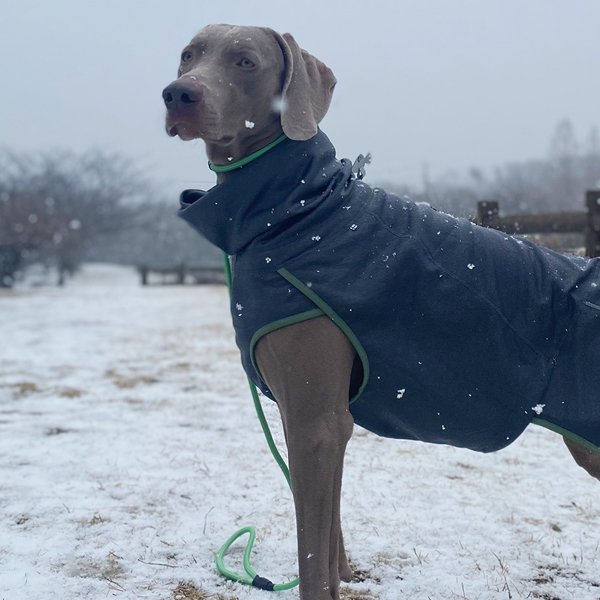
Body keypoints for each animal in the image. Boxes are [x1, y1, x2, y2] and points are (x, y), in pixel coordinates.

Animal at [164, 24, 600, 600]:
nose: (178, 94)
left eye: (245, 61)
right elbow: (328, 544)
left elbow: (311, 555)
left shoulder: (317, 421)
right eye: (188, 55)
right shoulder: (314, 419)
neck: (297, 213)